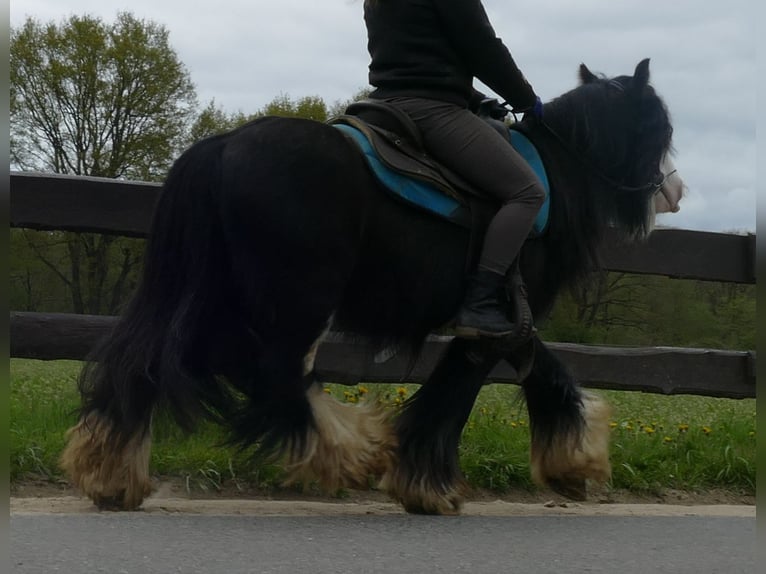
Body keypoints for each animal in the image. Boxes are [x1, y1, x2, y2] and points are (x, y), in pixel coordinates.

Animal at [61, 59, 684, 516]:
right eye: (661, 127)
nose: (673, 191)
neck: (551, 177)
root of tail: (225, 145)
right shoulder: (494, 323)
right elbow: (461, 392)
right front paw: (429, 486)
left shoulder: (506, 323)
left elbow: (544, 372)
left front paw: (570, 464)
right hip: (293, 297)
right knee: (266, 369)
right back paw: (352, 449)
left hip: (219, 293)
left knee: (154, 358)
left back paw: (111, 474)